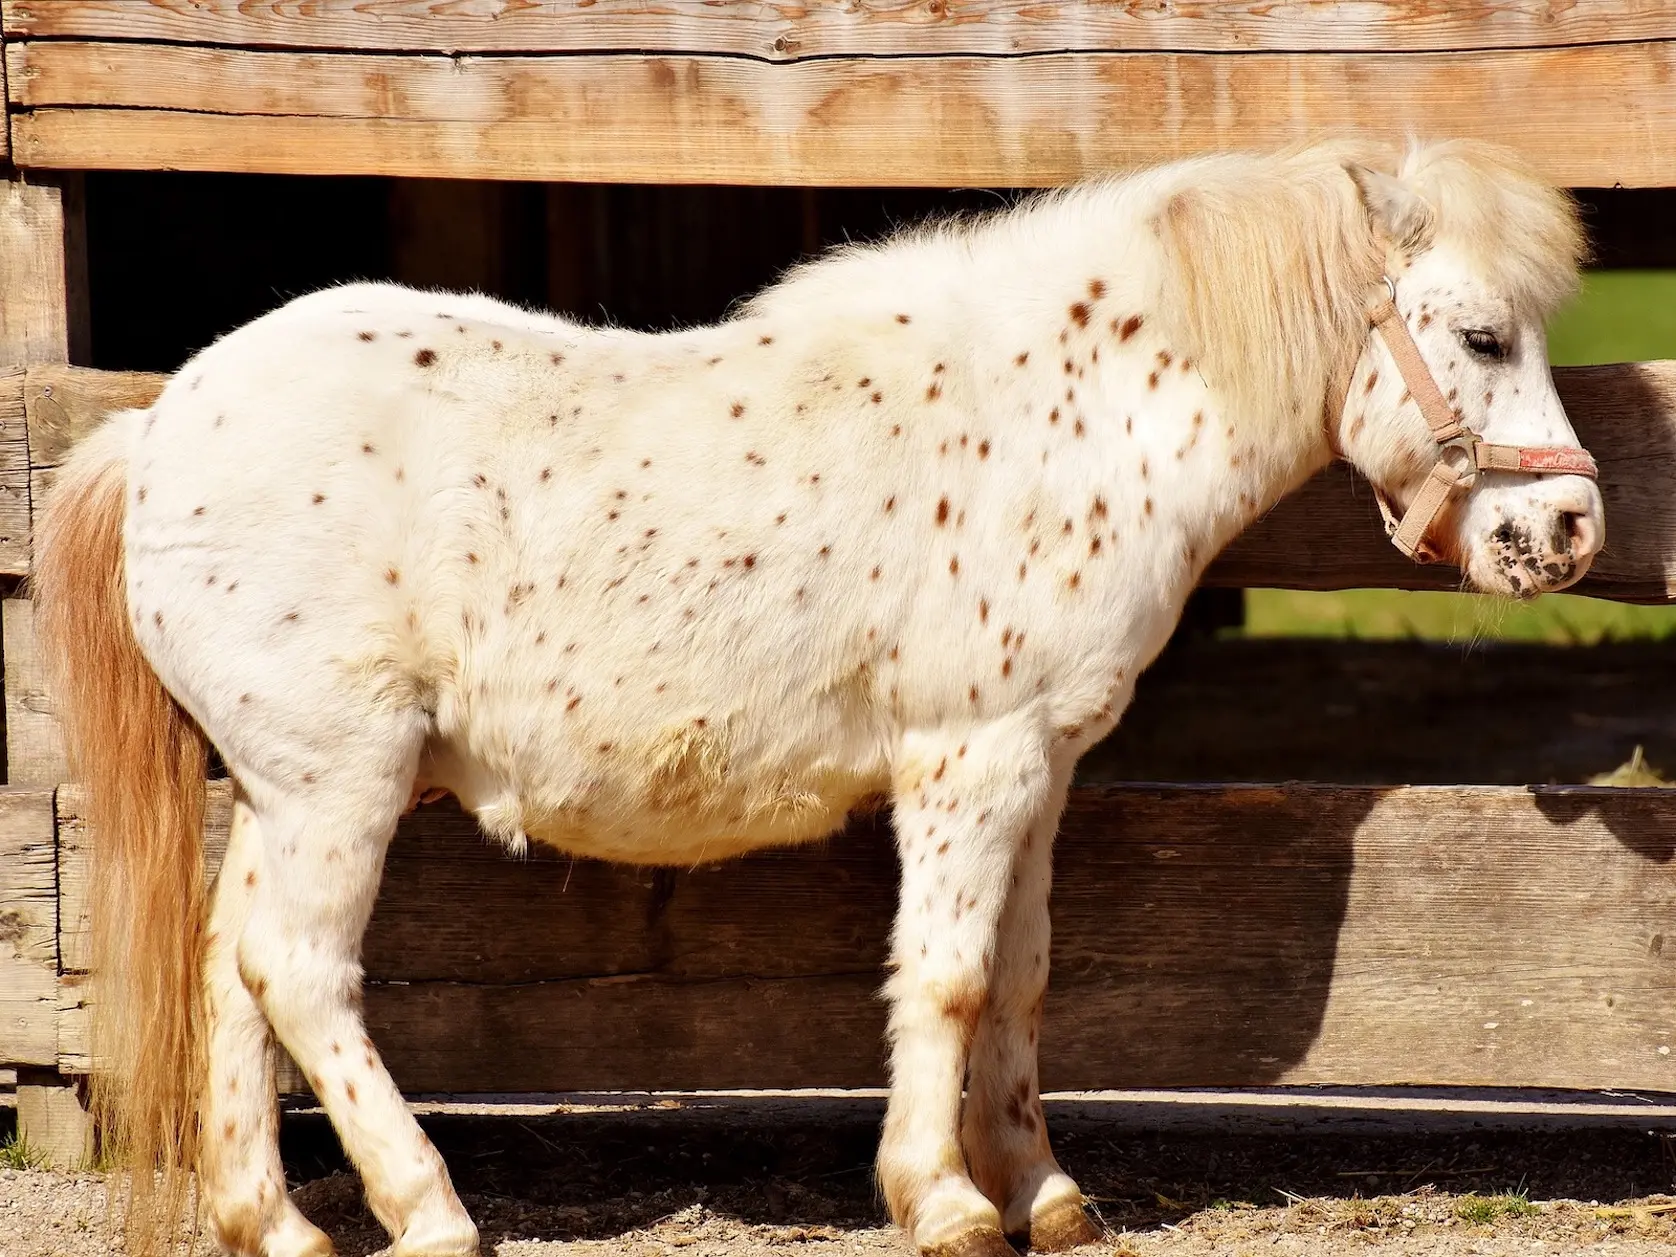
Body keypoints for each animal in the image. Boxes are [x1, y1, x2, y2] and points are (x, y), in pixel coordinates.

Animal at [36, 137, 1595, 1257]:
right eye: (1481, 338)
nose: (1570, 529)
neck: (1064, 417)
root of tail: (157, 425)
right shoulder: (969, 762)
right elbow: (949, 976)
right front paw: (944, 1203)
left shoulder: (1042, 769)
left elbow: (1022, 977)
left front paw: (1044, 1196)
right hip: (340, 783)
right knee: (302, 974)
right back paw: (431, 1214)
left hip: (284, 789)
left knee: (232, 973)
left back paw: (278, 1226)